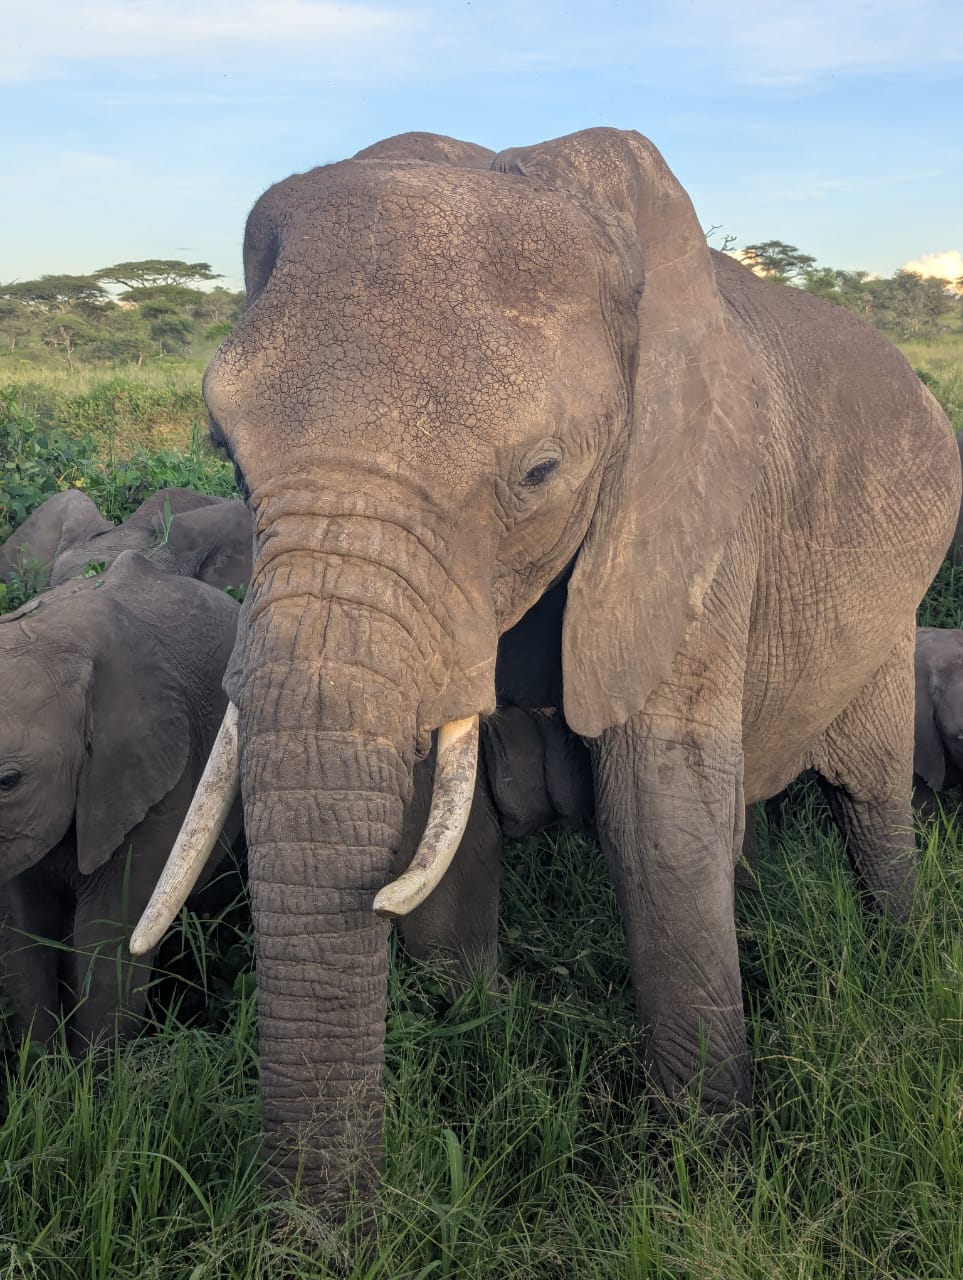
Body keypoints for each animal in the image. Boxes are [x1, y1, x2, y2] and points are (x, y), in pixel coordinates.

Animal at [0, 550, 241, 1052]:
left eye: (8, 781)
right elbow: (24, 940)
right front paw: (42, 1070)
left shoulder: (161, 781)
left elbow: (107, 943)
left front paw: (97, 1074)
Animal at [133, 127, 960, 1208]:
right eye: (225, 453)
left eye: (540, 473)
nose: (308, 1232)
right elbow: (439, 834)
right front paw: (477, 1050)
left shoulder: (695, 511)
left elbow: (656, 824)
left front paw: (699, 1181)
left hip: (891, 617)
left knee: (869, 802)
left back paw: (898, 958)